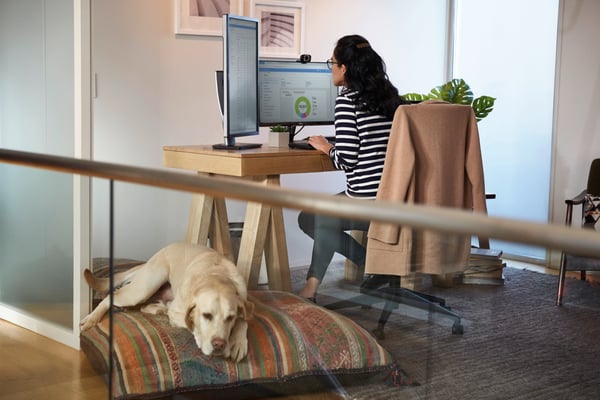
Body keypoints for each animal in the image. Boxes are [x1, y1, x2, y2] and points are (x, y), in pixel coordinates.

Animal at [79, 241, 253, 362]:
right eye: (206, 315)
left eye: (230, 318)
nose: (219, 345)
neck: (216, 275)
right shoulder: (178, 311)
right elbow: (191, 323)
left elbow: (243, 320)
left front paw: (238, 342)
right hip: (146, 286)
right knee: (112, 296)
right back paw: (92, 318)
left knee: (143, 307)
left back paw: (157, 309)